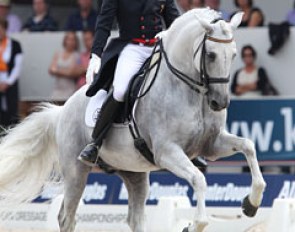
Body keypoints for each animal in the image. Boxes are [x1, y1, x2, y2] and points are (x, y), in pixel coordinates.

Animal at [0, 8, 266, 232]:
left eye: (233, 55)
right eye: (210, 55)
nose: (220, 102)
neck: (192, 92)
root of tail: (62, 109)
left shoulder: (211, 145)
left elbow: (248, 146)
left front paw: (251, 203)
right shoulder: (167, 152)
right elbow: (199, 180)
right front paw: (195, 224)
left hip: (133, 173)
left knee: (135, 218)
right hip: (76, 170)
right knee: (67, 217)